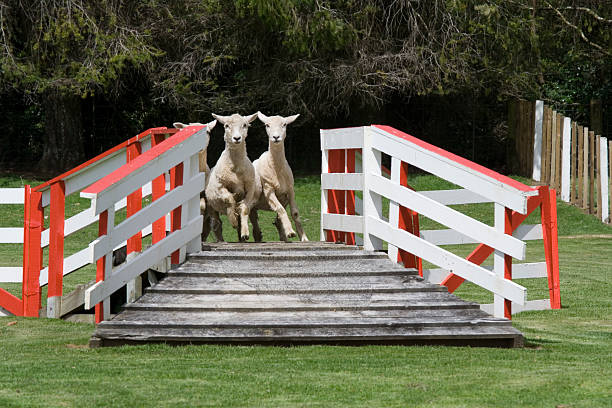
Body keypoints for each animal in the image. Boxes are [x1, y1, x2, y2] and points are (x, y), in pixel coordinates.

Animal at [204, 112, 260, 242]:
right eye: (226, 125)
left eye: (245, 125)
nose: (237, 138)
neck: (236, 167)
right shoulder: (219, 187)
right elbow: (229, 198)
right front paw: (233, 219)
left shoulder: (250, 188)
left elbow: (244, 208)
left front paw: (245, 233)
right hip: (211, 206)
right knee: (216, 225)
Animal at [252, 111, 308, 241]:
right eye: (267, 125)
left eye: (284, 124)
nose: (276, 137)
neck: (276, 169)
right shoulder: (268, 190)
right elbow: (280, 209)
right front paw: (291, 232)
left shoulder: (290, 190)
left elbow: (295, 213)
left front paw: (303, 238)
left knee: (276, 222)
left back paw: (284, 238)